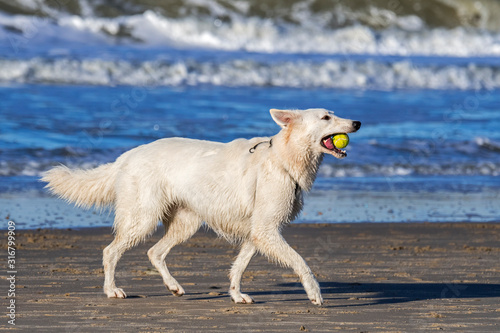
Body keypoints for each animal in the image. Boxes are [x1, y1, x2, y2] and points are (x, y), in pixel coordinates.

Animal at [42, 108, 360, 304]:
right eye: (326, 117)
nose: (357, 123)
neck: (283, 158)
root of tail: (126, 156)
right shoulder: (267, 231)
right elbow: (301, 262)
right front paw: (315, 293)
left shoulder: (258, 232)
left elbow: (239, 267)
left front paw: (236, 295)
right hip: (143, 217)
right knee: (111, 252)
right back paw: (112, 290)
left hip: (186, 222)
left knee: (155, 252)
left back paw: (173, 286)